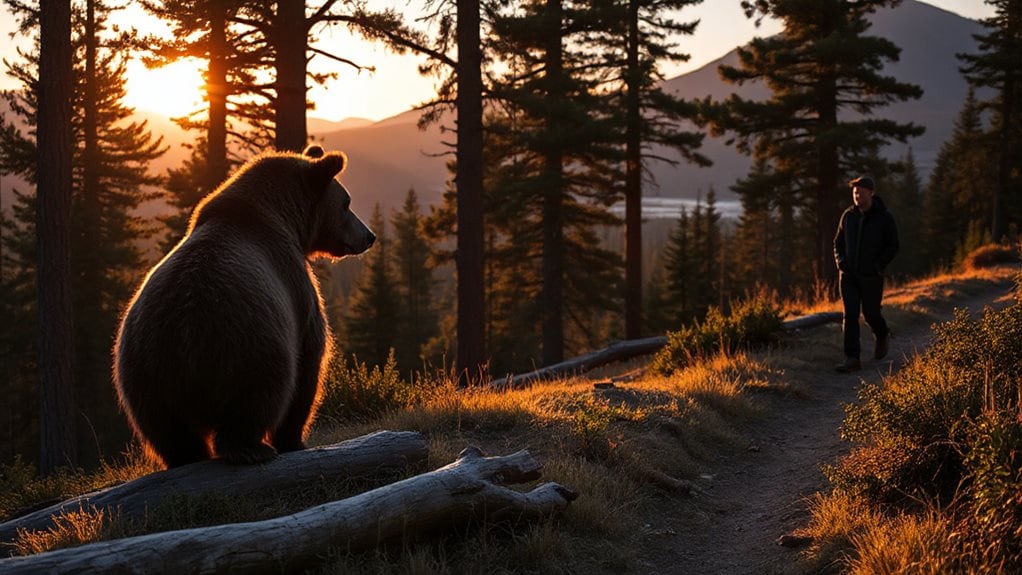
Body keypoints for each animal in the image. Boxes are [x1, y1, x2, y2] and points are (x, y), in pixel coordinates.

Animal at [114, 145, 375, 468]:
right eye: (346, 203)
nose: (369, 236)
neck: (282, 216)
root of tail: (184, 342)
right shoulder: (294, 285)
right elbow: (309, 360)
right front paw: (294, 440)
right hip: (246, 343)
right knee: (259, 395)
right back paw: (252, 448)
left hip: (143, 373)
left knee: (171, 434)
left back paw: (187, 457)